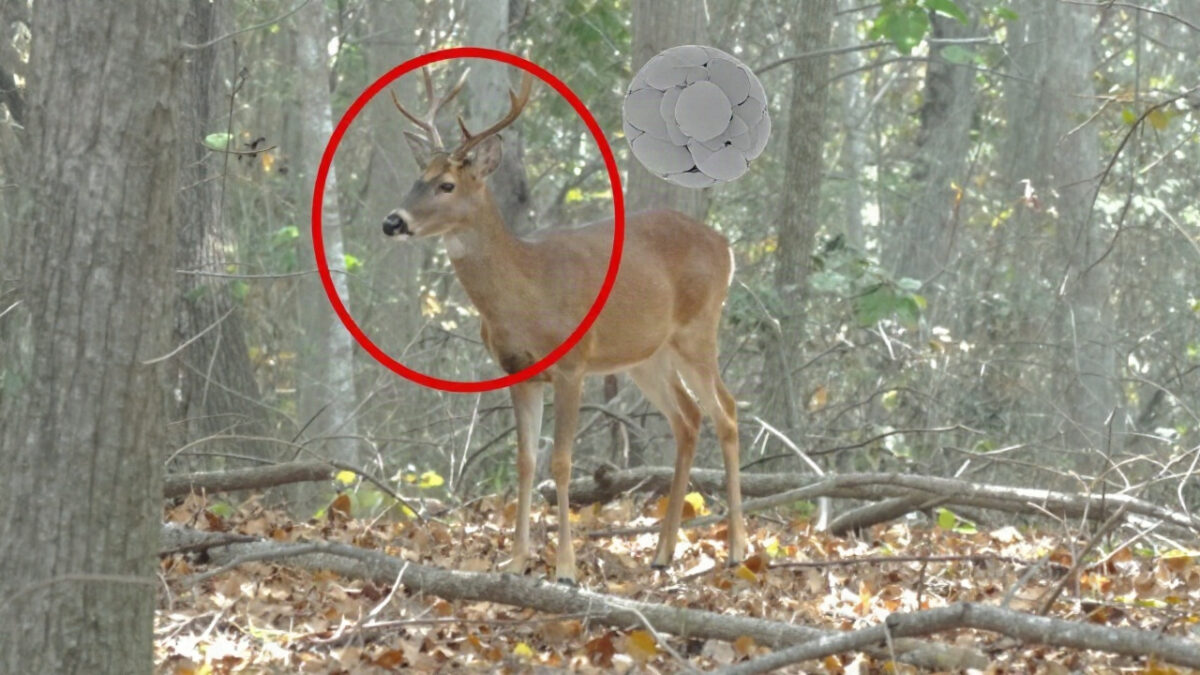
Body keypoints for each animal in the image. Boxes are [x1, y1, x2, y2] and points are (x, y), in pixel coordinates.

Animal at [381, 64, 747, 585]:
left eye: (447, 185)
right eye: (418, 178)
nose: (393, 222)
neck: (526, 291)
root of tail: (726, 247)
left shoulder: (573, 364)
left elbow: (561, 460)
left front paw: (566, 568)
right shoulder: (517, 368)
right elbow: (526, 460)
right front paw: (515, 561)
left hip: (698, 329)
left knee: (727, 412)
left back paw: (736, 550)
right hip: (646, 354)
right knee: (688, 419)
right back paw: (663, 552)